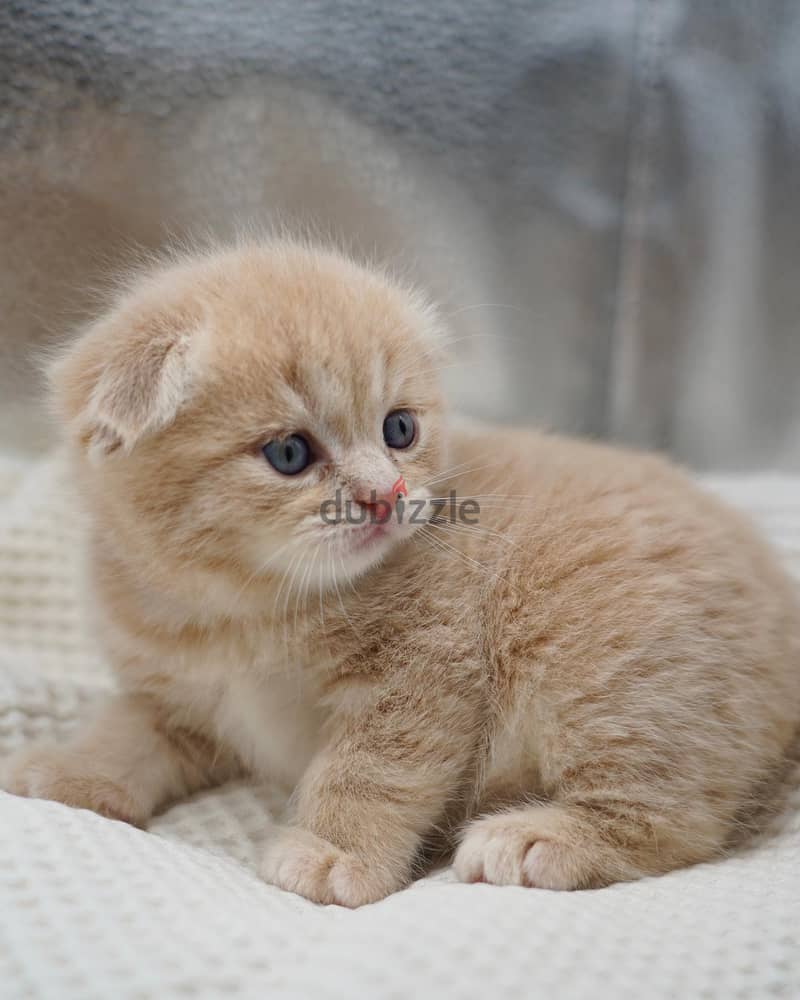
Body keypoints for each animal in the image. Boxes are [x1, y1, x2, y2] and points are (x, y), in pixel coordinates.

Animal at [3, 242, 796, 908]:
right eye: (289, 453)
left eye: (399, 429)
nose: (386, 495)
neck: (243, 609)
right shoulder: (173, 695)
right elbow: (127, 730)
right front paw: (72, 771)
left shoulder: (420, 676)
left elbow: (368, 770)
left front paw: (332, 852)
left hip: (605, 673)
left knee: (677, 819)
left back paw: (537, 837)